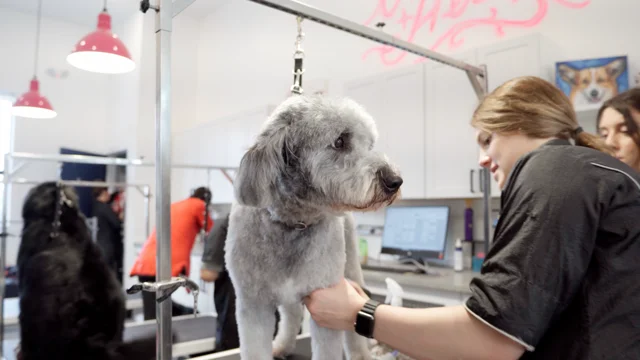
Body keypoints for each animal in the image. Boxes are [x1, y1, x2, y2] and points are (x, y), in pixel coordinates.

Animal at [225, 94, 402, 358]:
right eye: (340, 141)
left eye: (370, 144)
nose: (395, 181)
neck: (294, 222)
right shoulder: (253, 304)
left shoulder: (327, 305)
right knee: (291, 314)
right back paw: (283, 345)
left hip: (351, 269)